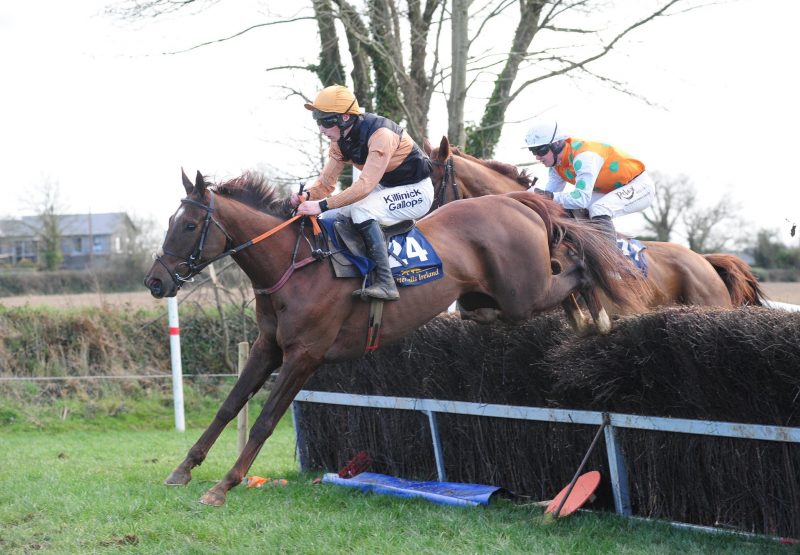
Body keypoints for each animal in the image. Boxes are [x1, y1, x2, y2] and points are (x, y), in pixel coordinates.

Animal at [144, 170, 648, 508]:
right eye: (170, 221)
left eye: (188, 225)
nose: (155, 281)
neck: (295, 265)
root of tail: (514, 201)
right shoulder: (269, 347)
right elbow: (230, 406)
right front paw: (183, 469)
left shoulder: (306, 355)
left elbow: (266, 419)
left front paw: (223, 485)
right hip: (496, 298)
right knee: (554, 274)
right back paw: (584, 317)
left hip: (523, 294)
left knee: (576, 265)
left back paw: (597, 316)